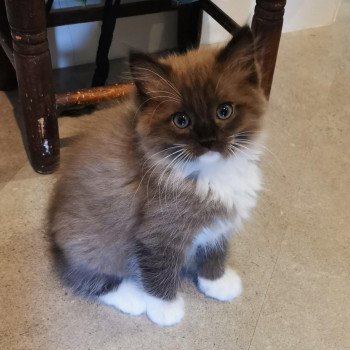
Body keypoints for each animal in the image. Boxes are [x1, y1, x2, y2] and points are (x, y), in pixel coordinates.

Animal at [48, 26, 266, 326]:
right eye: (181, 120)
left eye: (224, 111)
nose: (208, 140)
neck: (208, 174)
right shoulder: (158, 232)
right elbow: (159, 269)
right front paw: (165, 309)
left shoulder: (218, 222)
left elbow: (214, 250)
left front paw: (216, 282)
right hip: (89, 241)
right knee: (84, 276)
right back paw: (133, 297)